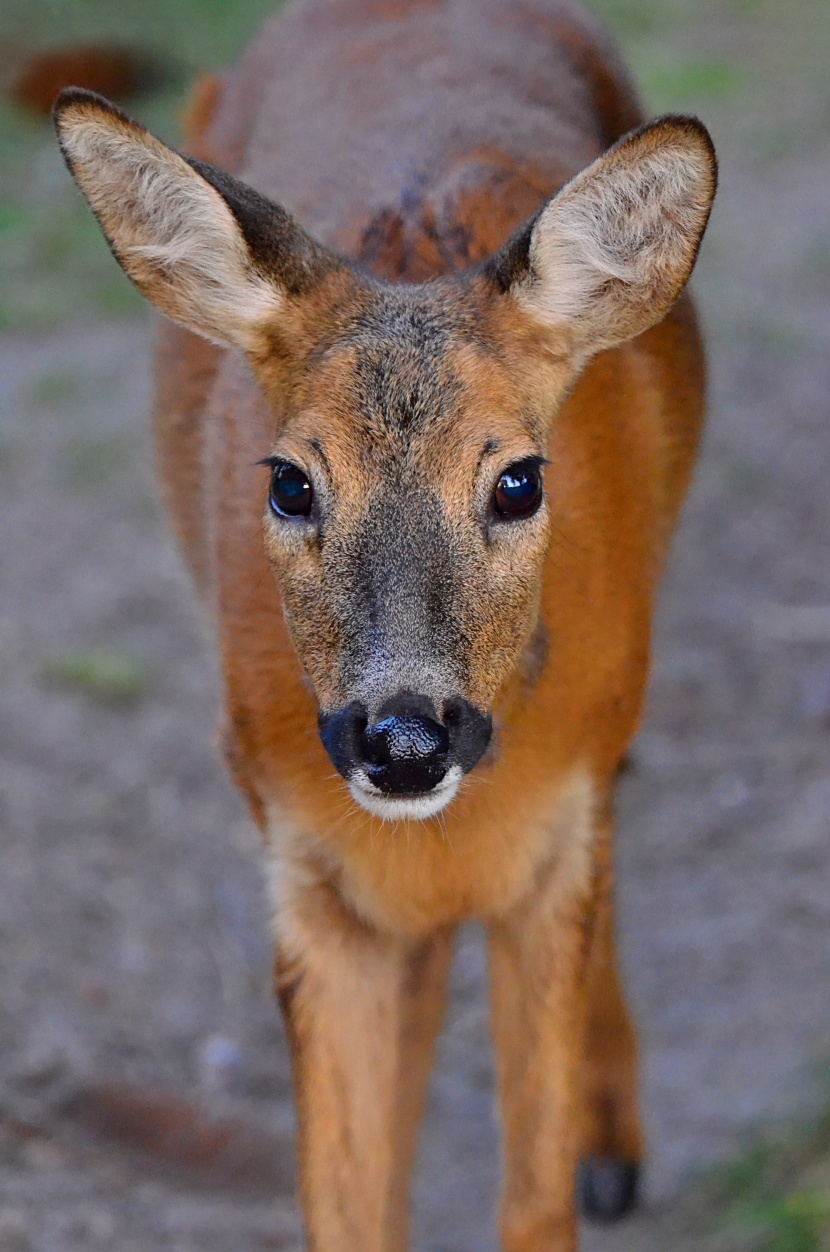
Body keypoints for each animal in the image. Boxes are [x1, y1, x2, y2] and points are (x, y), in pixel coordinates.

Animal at [51, 0, 716, 1246]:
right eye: (287, 483)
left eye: (517, 480)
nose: (401, 738)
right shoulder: (307, 866)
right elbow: (349, 1193)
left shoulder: (552, 834)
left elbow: (531, 1199)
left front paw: (587, 1150)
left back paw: (613, 1142)